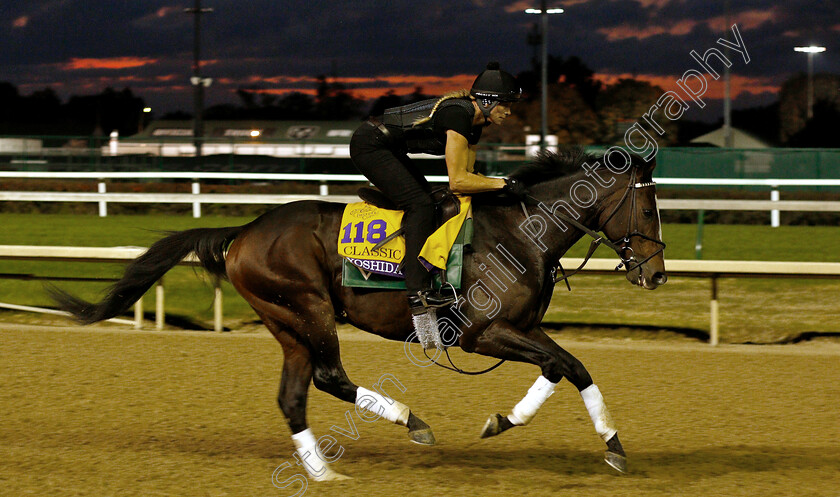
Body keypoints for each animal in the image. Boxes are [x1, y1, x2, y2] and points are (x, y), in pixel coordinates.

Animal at [52, 148, 668, 480]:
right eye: (645, 206)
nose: (656, 274)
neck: (520, 231)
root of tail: (245, 230)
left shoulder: (523, 328)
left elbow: (565, 367)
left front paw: (519, 424)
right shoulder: (484, 333)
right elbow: (568, 366)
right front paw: (605, 446)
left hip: (287, 322)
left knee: (294, 394)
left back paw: (323, 471)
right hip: (308, 308)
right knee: (327, 376)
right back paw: (408, 420)